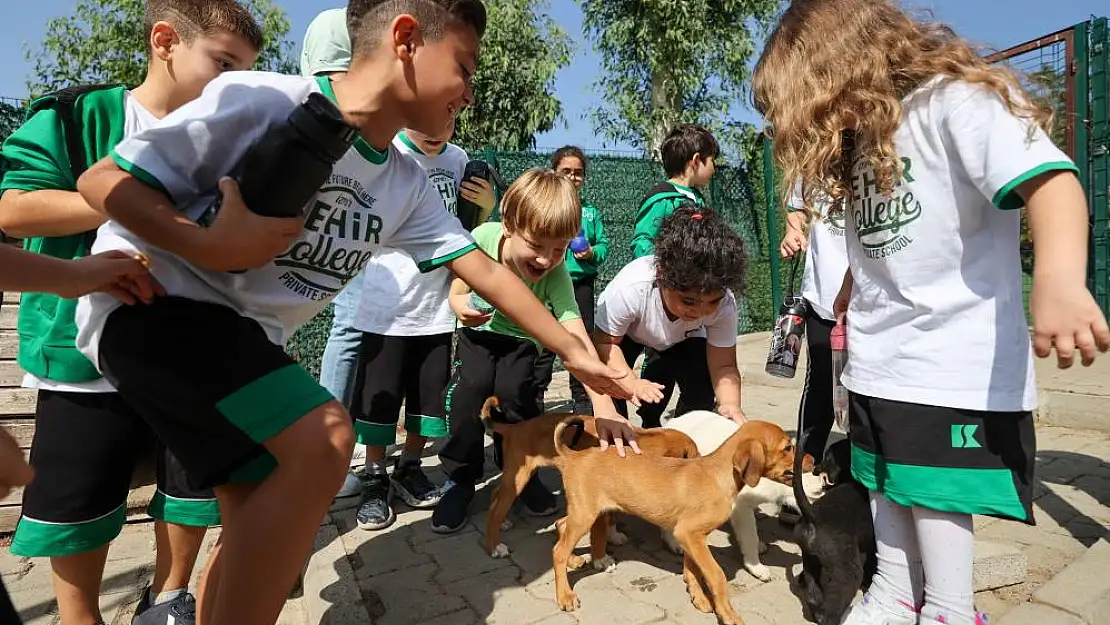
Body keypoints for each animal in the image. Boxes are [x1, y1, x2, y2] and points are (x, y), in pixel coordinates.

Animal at [481, 395, 697, 557]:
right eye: (693, 455)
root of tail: (515, 427)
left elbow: (611, 515)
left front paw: (613, 536)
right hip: (518, 478)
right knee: (496, 509)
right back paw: (495, 547)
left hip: (519, 475)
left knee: (496, 494)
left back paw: (504, 523)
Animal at [552, 415, 808, 625]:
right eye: (787, 447)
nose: (812, 461)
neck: (717, 476)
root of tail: (573, 456)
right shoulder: (689, 534)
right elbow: (716, 575)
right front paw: (727, 613)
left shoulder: (691, 537)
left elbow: (693, 568)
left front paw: (698, 598)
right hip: (586, 514)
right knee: (558, 550)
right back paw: (565, 595)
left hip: (584, 511)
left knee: (561, 526)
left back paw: (574, 561)